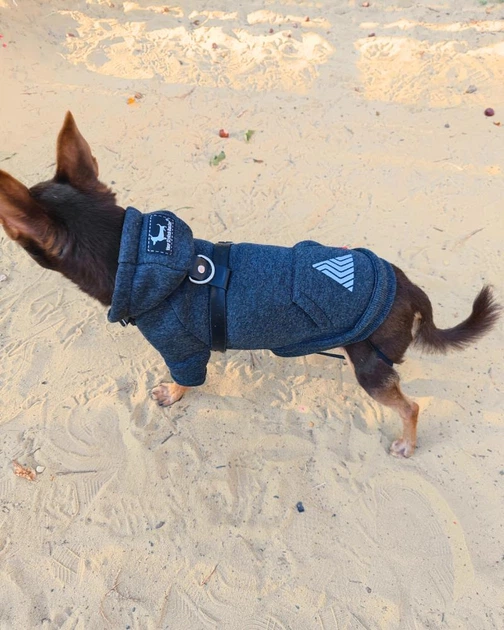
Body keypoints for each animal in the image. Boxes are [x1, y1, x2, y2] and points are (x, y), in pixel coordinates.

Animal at [0, 113, 500, 458]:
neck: (138, 256)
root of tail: (410, 288)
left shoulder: (183, 350)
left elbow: (183, 380)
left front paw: (172, 394)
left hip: (370, 370)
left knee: (410, 406)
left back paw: (407, 442)